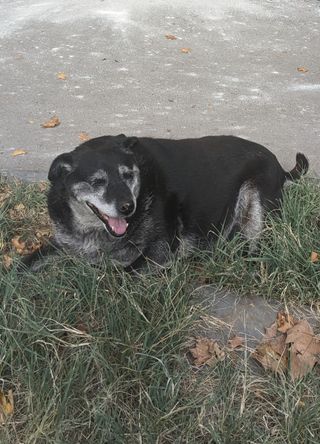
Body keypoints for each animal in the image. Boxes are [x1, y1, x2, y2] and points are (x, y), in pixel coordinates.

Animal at [22, 134, 308, 268]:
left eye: (128, 175)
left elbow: (121, 277)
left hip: (255, 200)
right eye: (97, 181)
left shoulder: (160, 251)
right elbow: (24, 265)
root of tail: (280, 166)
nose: (128, 207)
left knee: (257, 246)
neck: (92, 231)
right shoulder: (62, 244)